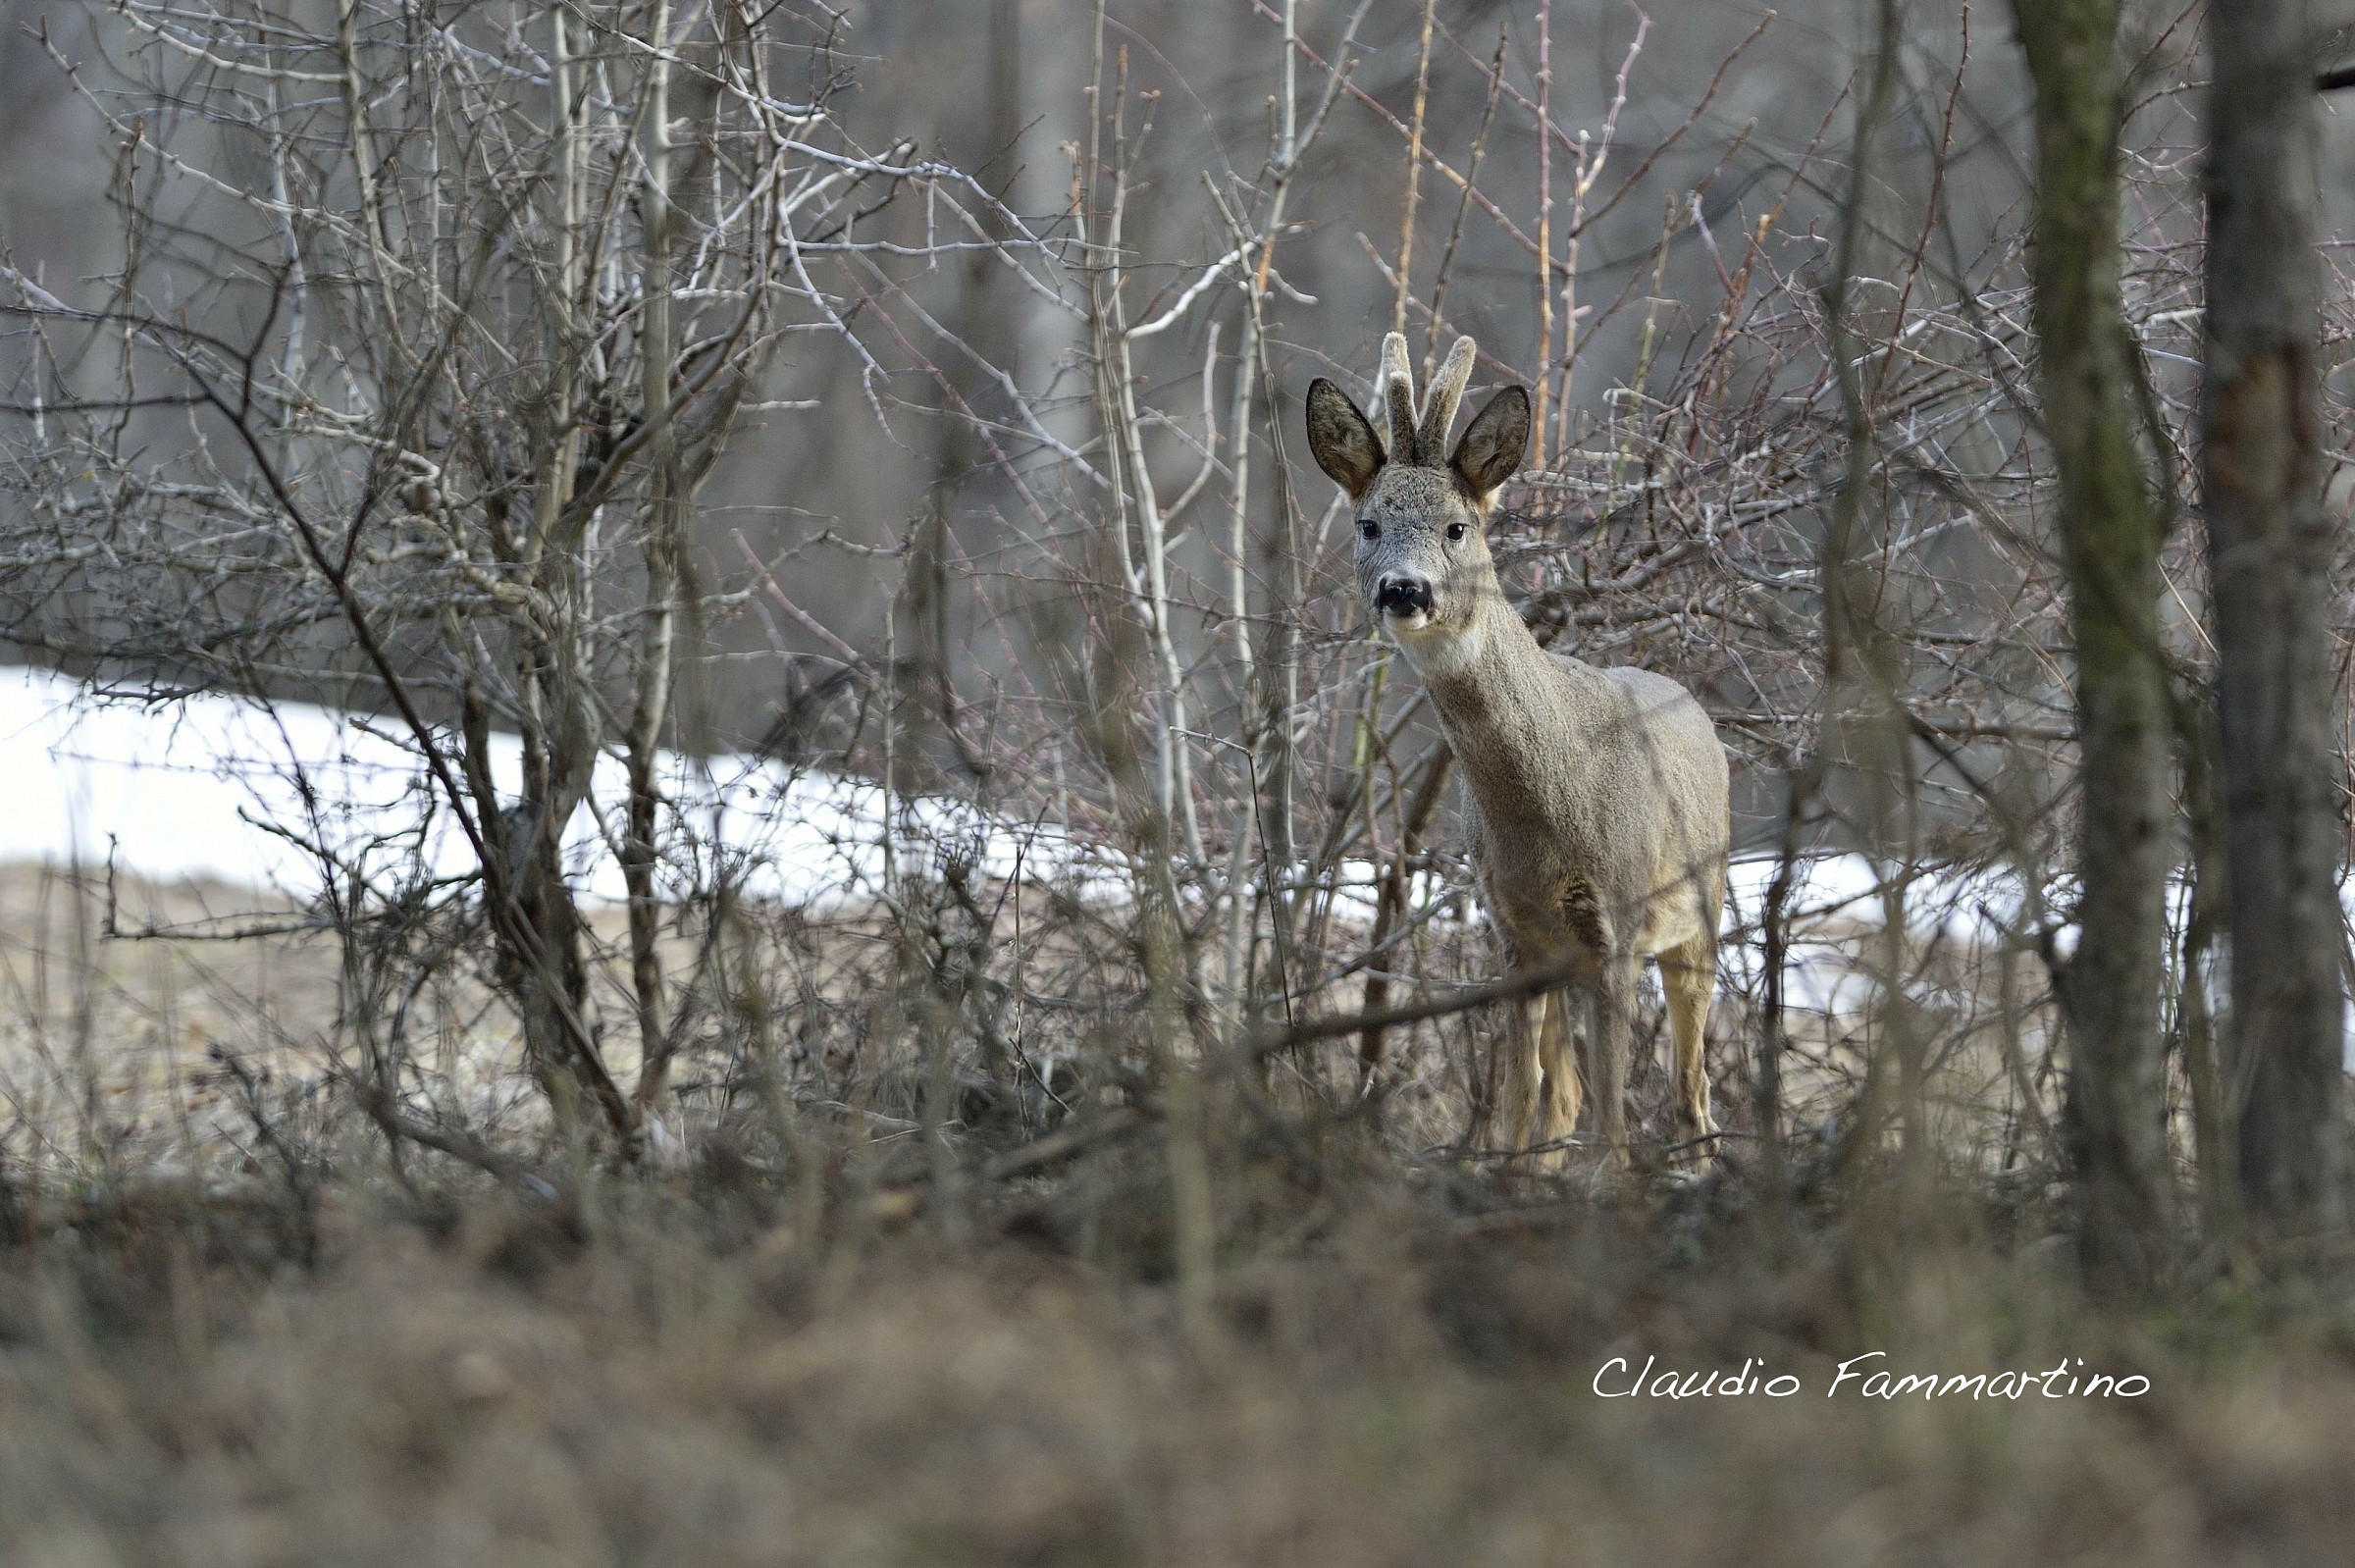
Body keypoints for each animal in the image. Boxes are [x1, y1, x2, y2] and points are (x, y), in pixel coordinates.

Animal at [1305, 333, 1731, 1168]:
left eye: (1457, 528)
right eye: (1368, 524)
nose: (1404, 590)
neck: (1546, 820)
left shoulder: (1617, 924)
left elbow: (1613, 1121)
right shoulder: (1513, 932)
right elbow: (1520, 1104)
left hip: (1701, 914)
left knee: (1693, 1094)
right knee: (1564, 1094)